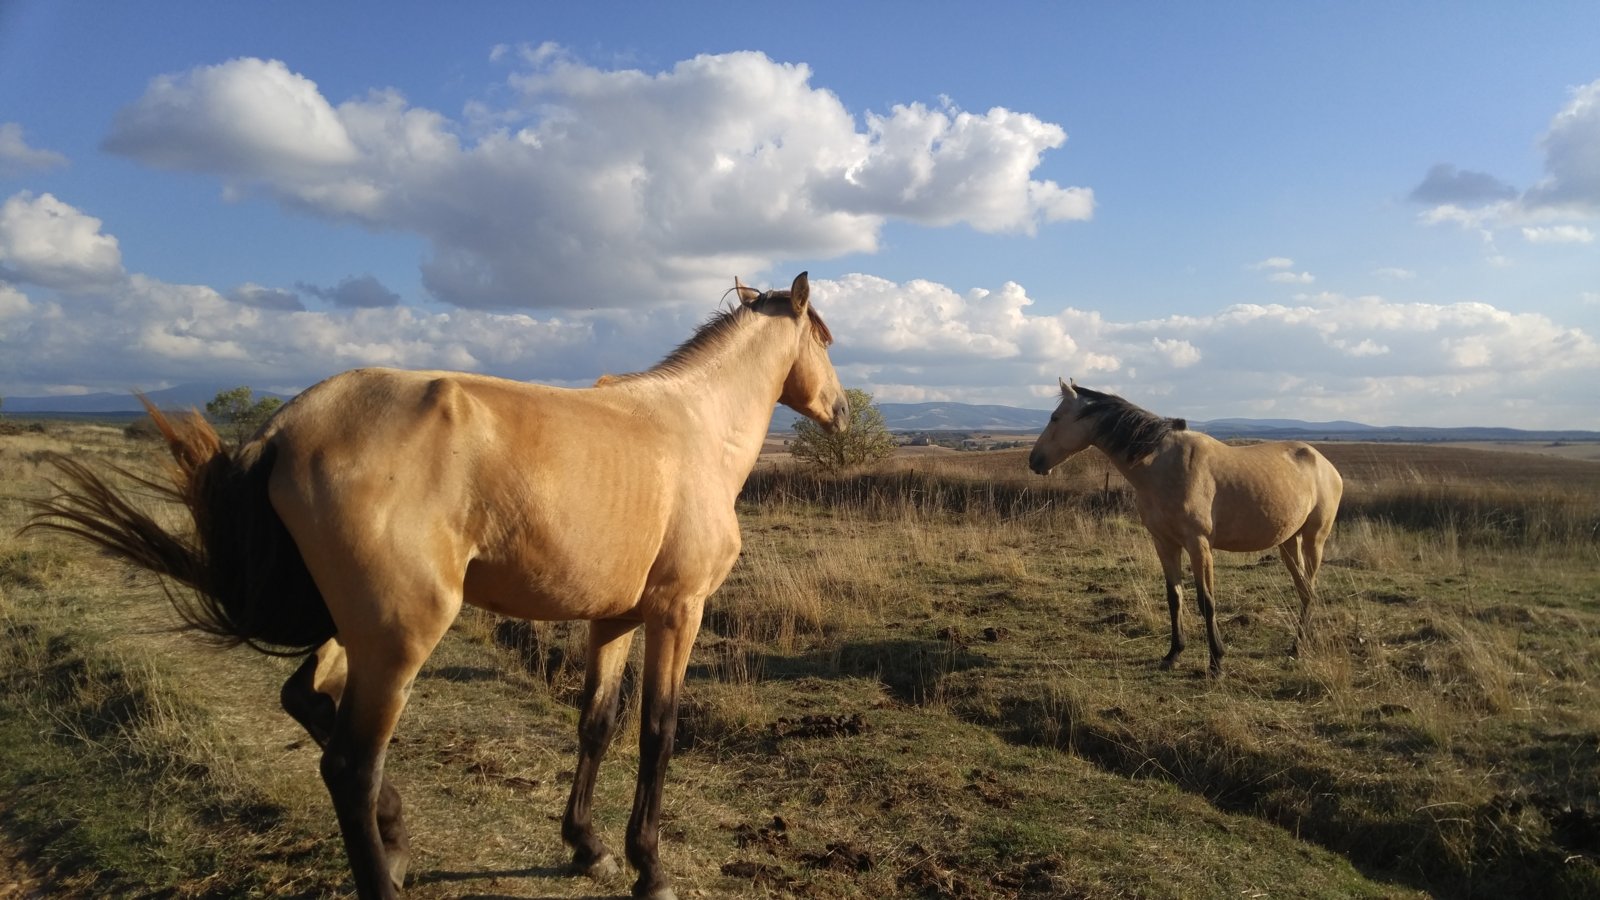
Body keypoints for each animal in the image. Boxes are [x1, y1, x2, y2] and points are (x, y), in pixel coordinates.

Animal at [28, 269, 851, 890]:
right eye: (825, 338)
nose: (842, 410)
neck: (693, 428)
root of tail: (283, 430)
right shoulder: (678, 611)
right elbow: (658, 732)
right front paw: (650, 867)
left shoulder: (614, 617)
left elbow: (596, 725)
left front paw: (586, 846)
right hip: (402, 636)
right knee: (349, 766)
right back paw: (383, 859)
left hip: (358, 629)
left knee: (304, 697)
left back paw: (395, 834)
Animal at [1024, 376, 1337, 672]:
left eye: (1055, 418)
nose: (1034, 460)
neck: (1162, 465)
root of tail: (1324, 464)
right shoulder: (1164, 543)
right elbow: (1174, 597)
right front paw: (1173, 654)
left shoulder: (1199, 545)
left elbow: (1206, 601)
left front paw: (1216, 662)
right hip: (1288, 542)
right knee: (1304, 589)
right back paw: (1299, 645)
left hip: (1314, 540)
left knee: (1309, 588)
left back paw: (1297, 647)